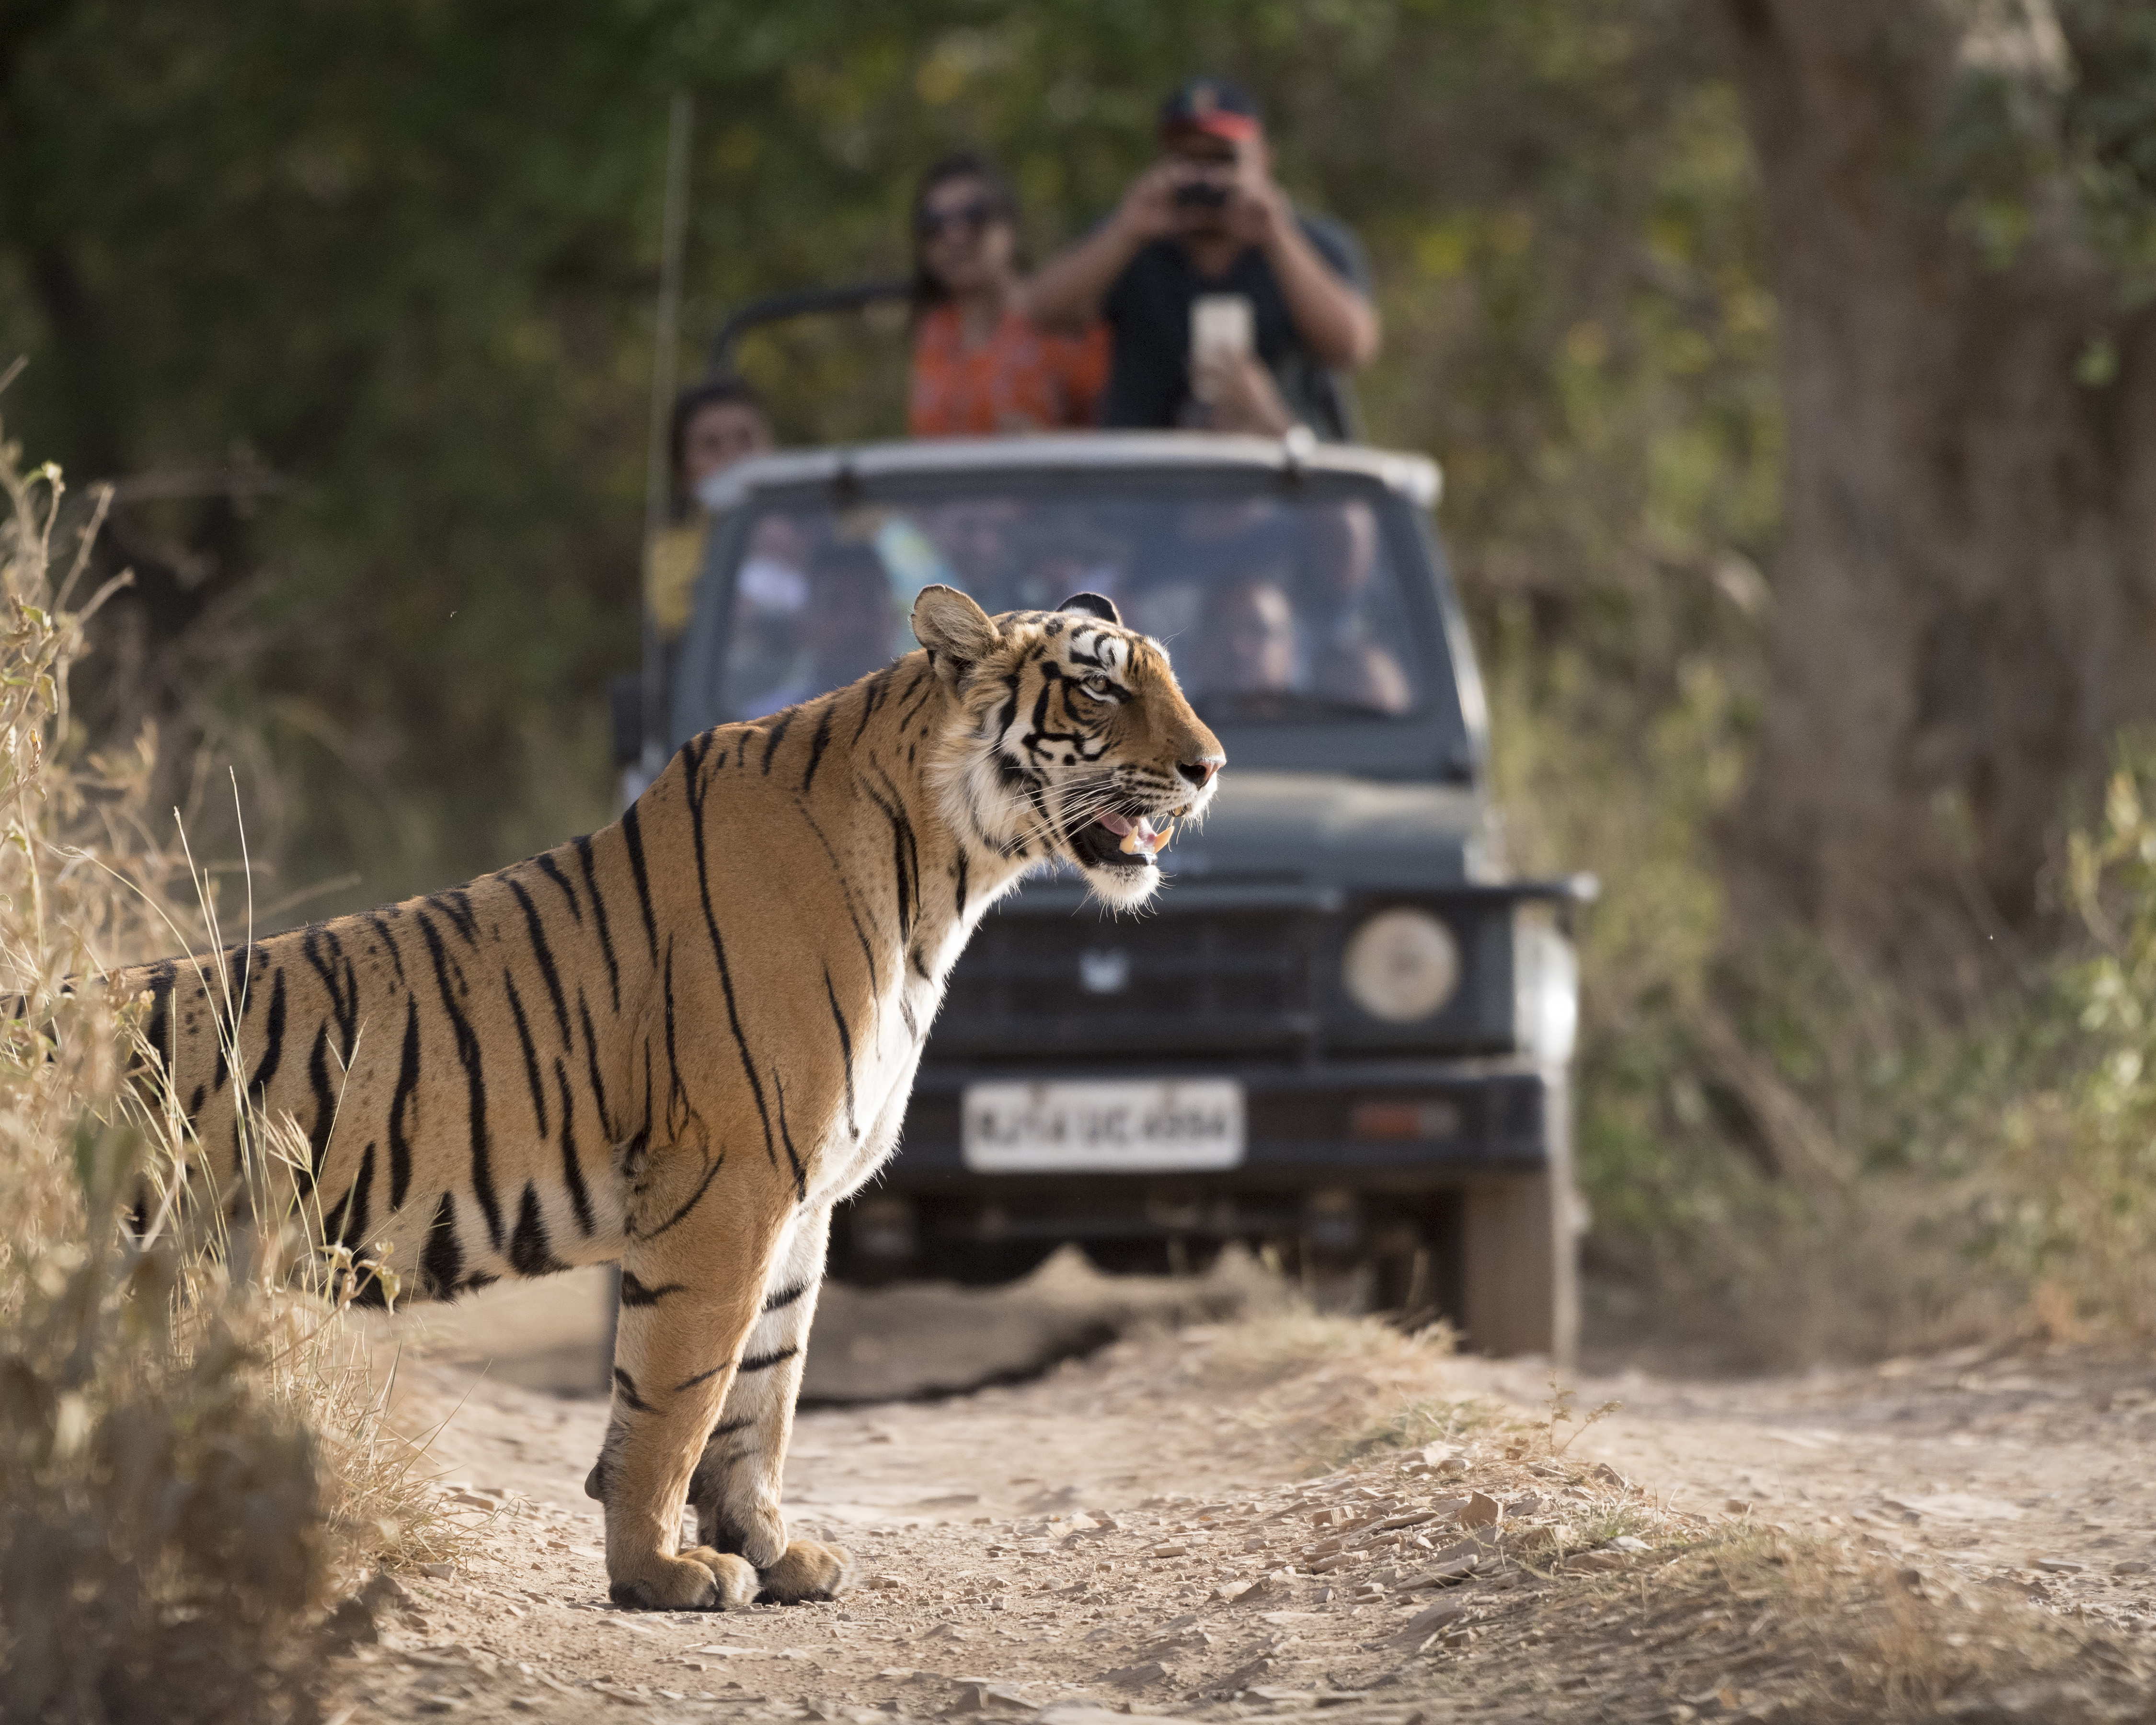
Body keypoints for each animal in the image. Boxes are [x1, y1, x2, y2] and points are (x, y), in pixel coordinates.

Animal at [116, 584, 1224, 1612]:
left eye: (1166, 677)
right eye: (1099, 687)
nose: (1210, 767)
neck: (945, 877)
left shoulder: (802, 1200)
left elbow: (766, 1391)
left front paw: (772, 1553)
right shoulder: (729, 1180)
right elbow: (679, 1397)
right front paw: (660, 1571)